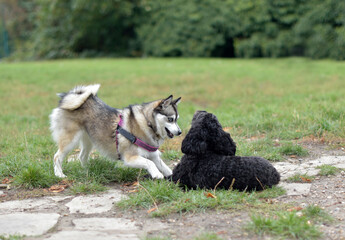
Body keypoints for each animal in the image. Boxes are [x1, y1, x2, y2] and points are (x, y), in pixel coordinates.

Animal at [50, 85, 181, 179]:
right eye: (170, 119)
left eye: (177, 119)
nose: (180, 132)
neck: (147, 122)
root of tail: (68, 98)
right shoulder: (129, 157)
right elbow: (149, 163)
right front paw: (156, 174)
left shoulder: (153, 155)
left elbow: (164, 167)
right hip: (70, 140)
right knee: (57, 157)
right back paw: (59, 174)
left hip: (89, 140)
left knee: (81, 156)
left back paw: (87, 170)